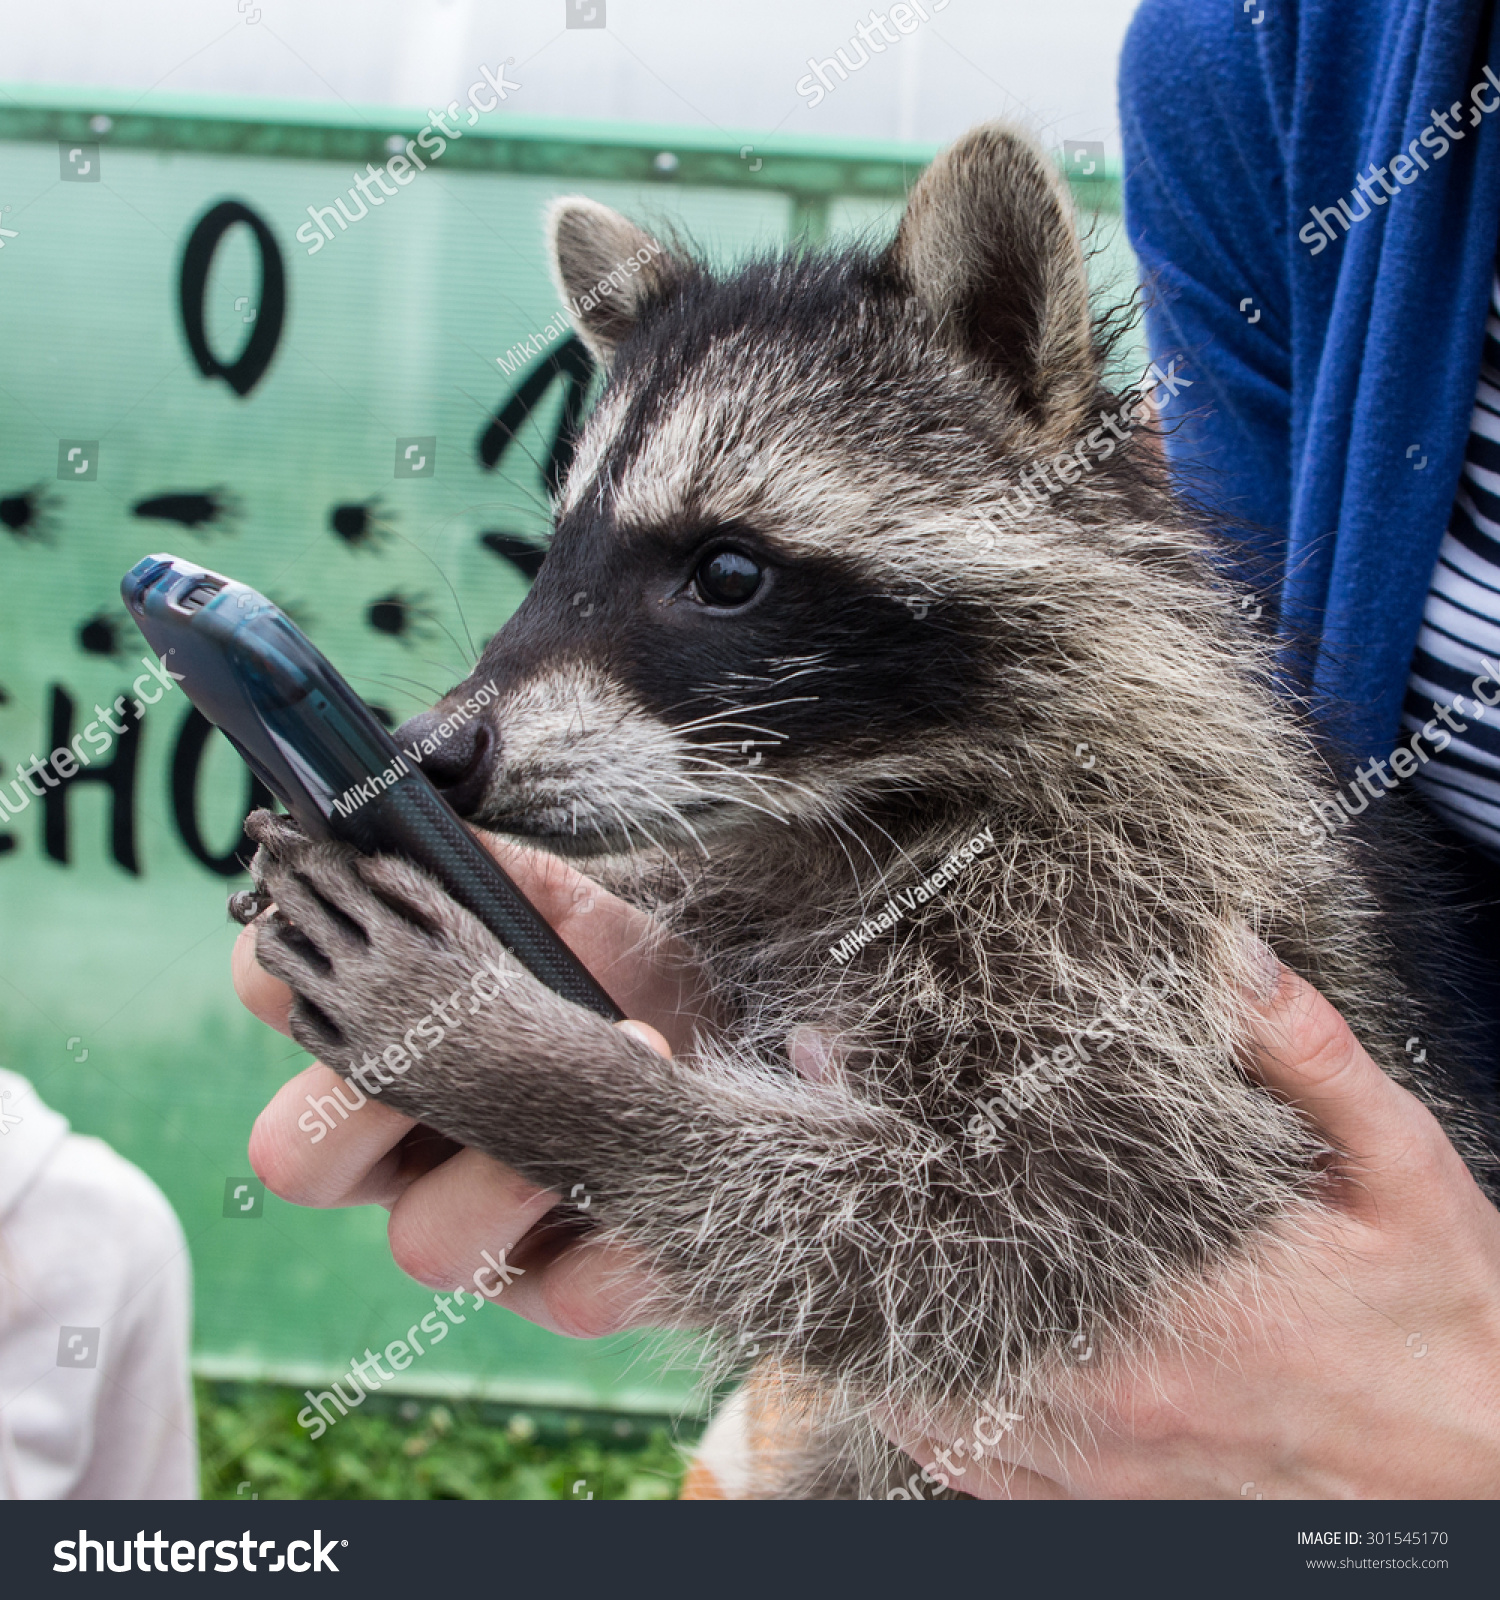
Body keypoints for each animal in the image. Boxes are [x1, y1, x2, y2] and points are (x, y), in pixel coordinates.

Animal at [239, 124, 1496, 1497]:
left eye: (728, 570)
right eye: (557, 551)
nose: (430, 756)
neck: (867, 796)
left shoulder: (1159, 953)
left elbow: (992, 1232)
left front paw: (546, 1075)